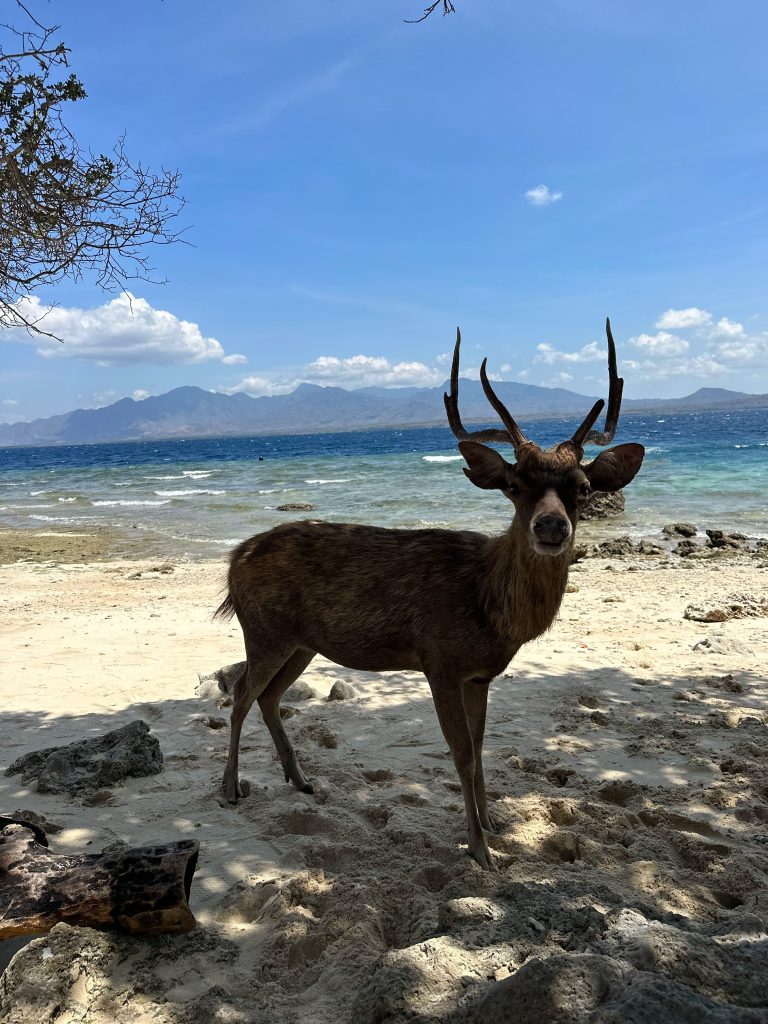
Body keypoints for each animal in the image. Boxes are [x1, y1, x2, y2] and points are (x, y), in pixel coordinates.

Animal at [215, 319, 644, 870]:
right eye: (513, 485)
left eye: (584, 486)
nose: (551, 526)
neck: (485, 606)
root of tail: (233, 561)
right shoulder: (438, 660)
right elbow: (460, 754)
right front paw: (480, 851)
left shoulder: (479, 674)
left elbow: (481, 749)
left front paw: (493, 823)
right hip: (263, 629)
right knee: (241, 695)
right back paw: (230, 789)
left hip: (302, 642)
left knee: (269, 697)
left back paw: (301, 780)